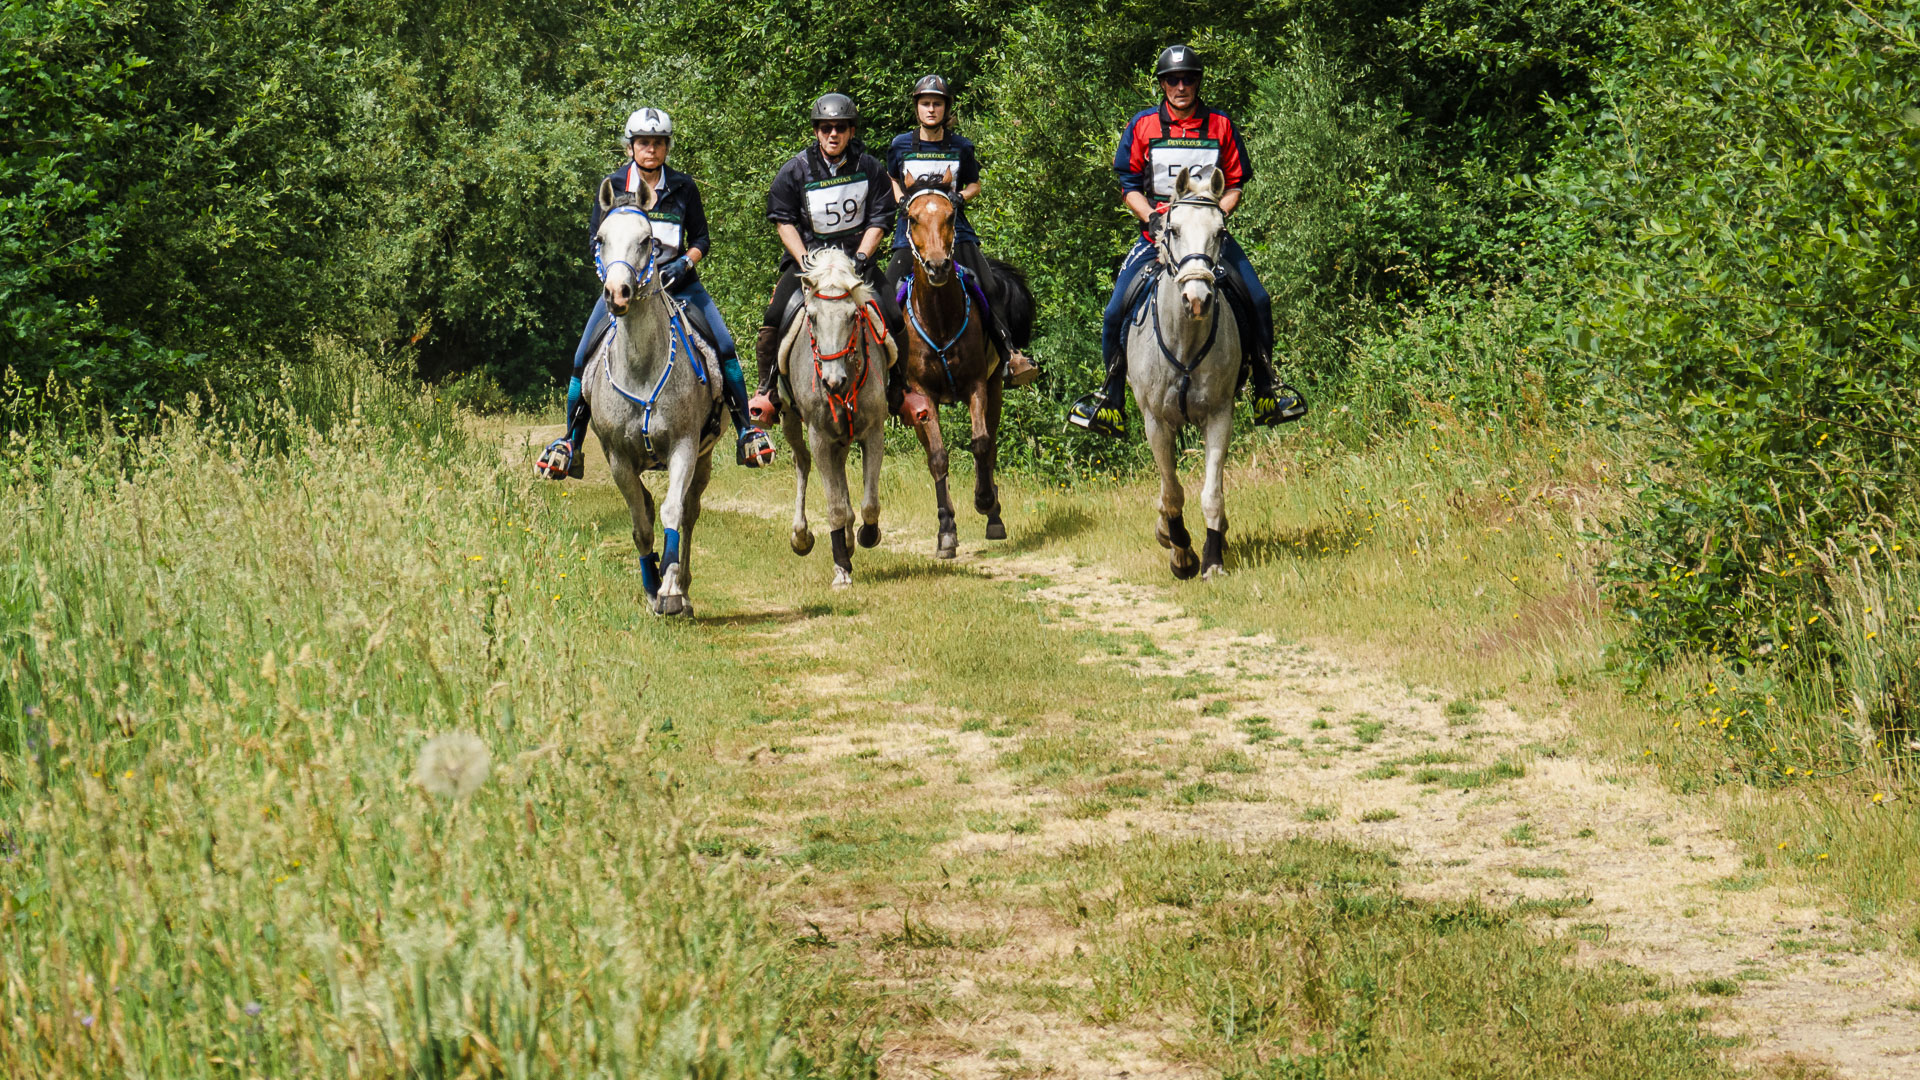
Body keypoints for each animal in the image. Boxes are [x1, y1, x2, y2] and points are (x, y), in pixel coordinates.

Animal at [894, 170, 1036, 553]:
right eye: (913, 217)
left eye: (950, 215)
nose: (938, 265)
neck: (939, 319)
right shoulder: (922, 394)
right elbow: (938, 457)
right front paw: (946, 531)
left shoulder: (977, 384)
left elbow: (981, 443)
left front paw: (986, 501)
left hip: (996, 385)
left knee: (991, 445)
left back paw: (994, 515)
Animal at [1121, 166, 1244, 580]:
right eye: (1172, 229)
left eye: (1220, 231)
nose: (1197, 299)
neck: (1185, 341)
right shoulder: (1156, 422)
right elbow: (1172, 492)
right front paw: (1180, 552)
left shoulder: (1220, 415)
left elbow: (1212, 493)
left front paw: (1211, 558)